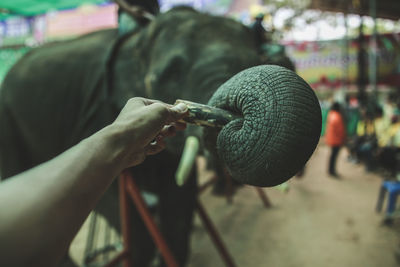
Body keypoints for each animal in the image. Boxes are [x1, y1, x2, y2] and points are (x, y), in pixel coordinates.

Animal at [0, 5, 320, 266]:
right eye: (171, 72)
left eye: (255, 58)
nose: (232, 120)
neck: (139, 39)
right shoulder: (93, 115)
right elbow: (107, 194)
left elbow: (179, 202)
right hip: (8, 119)